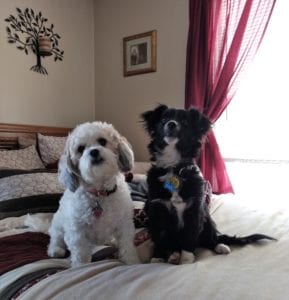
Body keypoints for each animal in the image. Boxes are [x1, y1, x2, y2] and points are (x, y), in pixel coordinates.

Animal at [47, 120, 140, 266]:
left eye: (102, 141)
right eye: (80, 149)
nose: (94, 151)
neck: (99, 192)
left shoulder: (124, 224)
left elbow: (127, 246)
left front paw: (132, 262)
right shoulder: (76, 231)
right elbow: (81, 253)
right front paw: (80, 266)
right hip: (58, 226)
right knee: (56, 239)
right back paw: (55, 250)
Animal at [141, 104, 274, 264]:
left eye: (185, 122)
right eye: (163, 119)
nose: (171, 124)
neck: (174, 167)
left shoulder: (195, 209)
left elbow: (190, 236)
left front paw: (186, 259)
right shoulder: (157, 209)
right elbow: (159, 237)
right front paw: (158, 257)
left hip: (207, 218)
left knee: (209, 239)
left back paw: (219, 246)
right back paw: (173, 255)